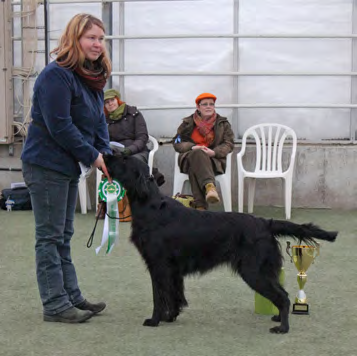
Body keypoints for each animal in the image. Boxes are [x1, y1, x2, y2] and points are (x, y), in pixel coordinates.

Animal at [103, 153, 336, 334]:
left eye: (124, 158)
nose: (105, 154)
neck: (150, 206)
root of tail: (265, 222)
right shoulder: (173, 270)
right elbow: (175, 295)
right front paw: (171, 317)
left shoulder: (158, 265)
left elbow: (159, 297)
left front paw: (154, 320)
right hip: (263, 270)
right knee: (282, 295)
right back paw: (278, 319)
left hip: (253, 271)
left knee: (284, 297)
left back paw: (283, 328)